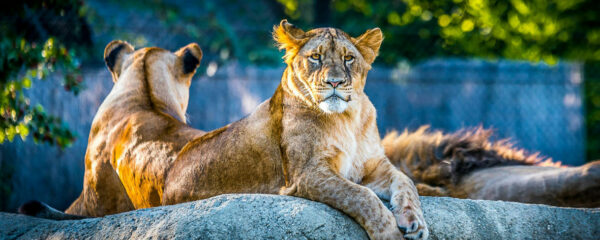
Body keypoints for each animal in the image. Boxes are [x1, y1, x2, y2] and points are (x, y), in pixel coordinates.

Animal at [21, 19, 428, 239]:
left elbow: (406, 182)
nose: (334, 82)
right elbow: (362, 196)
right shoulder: (307, 174)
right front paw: (389, 231)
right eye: (315, 58)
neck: (347, 118)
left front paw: (415, 222)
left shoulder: (375, 166)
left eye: (348, 59)